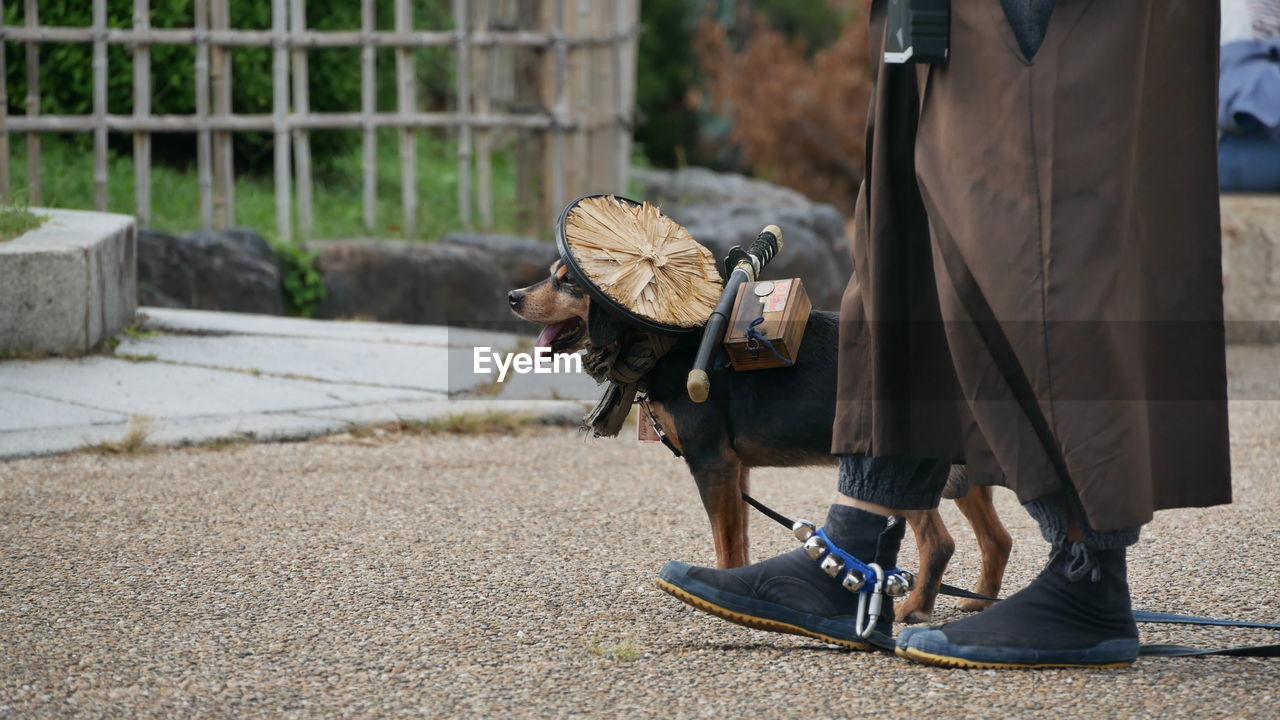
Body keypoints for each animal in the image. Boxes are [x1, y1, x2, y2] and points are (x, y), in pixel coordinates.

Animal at [506, 258, 1008, 622]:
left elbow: (725, 542)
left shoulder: (711, 462)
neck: (668, 343)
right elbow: (739, 539)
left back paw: (914, 610)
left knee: (940, 544)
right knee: (998, 540)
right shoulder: (736, 470)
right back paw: (977, 603)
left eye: (568, 282)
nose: (512, 296)